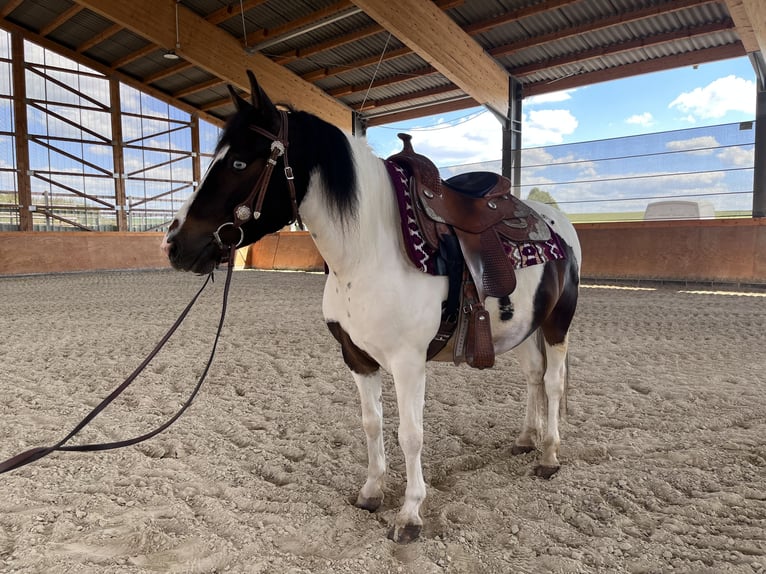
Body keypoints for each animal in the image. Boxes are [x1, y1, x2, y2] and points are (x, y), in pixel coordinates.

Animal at [162, 72, 584, 544]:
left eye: (238, 163)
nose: (175, 244)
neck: (368, 253)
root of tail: (551, 219)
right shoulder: (357, 357)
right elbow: (372, 423)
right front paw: (372, 491)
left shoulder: (408, 363)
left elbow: (410, 434)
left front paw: (410, 514)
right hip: (524, 327)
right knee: (532, 377)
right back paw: (528, 439)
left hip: (558, 323)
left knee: (552, 383)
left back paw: (548, 455)